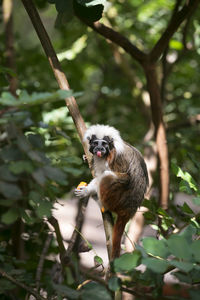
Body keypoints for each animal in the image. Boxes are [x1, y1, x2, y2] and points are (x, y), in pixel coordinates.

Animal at [74, 123, 148, 258]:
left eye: (104, 144)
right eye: (95, 143)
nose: (99, 149)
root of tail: (129, 210)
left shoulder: (117, 157)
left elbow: (124, 176)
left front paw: (87, 191)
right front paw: (87, 157)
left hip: (117, 199)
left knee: (109, 176)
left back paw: (101, 203)